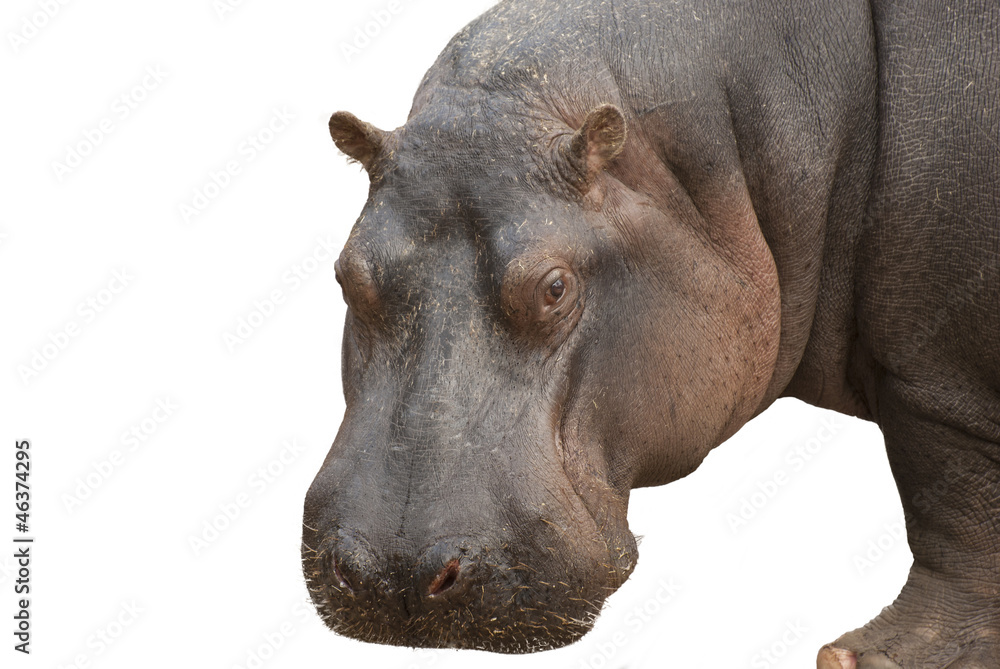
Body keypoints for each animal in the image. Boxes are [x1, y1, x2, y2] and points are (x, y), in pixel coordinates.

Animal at [302, 0, 999, 665]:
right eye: (345, 273)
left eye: (554, 288)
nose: (394, 572)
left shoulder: (940, 372)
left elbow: (953, 487)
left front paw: (876, 655)